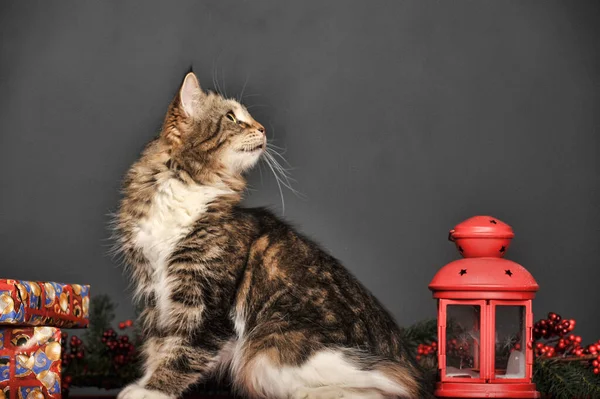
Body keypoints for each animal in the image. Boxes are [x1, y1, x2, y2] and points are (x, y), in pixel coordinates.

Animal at [115, 72, 428, 399]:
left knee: (389, 386)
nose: (262, 128)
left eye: (247, 117)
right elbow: (158, 346)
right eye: (232, 117)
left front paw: (153, 390)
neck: (190, 183)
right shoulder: (154, 290)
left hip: (266, 349)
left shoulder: (208, 303)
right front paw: (144, 381)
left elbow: (184, 351)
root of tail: (403, 355)